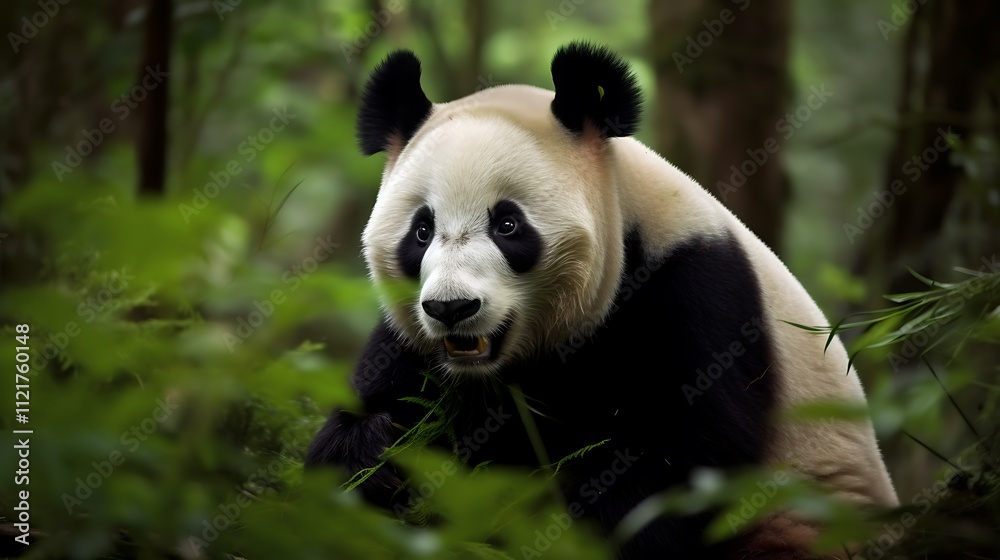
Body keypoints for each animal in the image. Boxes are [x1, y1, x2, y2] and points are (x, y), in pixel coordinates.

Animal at [307, 42, 899, 559]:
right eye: (422, 231)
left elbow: (683, 464)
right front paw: (376, 455)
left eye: (507, 224)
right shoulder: (414, 344)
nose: (452, 309)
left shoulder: (697, 294)